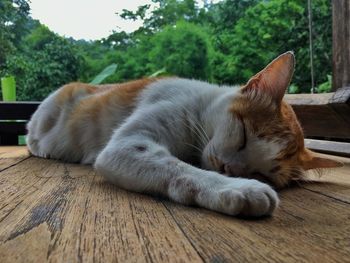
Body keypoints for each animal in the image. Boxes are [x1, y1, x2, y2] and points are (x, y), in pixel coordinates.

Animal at [27, 52, 342, 218]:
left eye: (264, 172)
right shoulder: (127, 145)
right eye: (243, 135)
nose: (230, 169)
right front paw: (237, 187)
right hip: (47, 114)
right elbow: (181, 169)